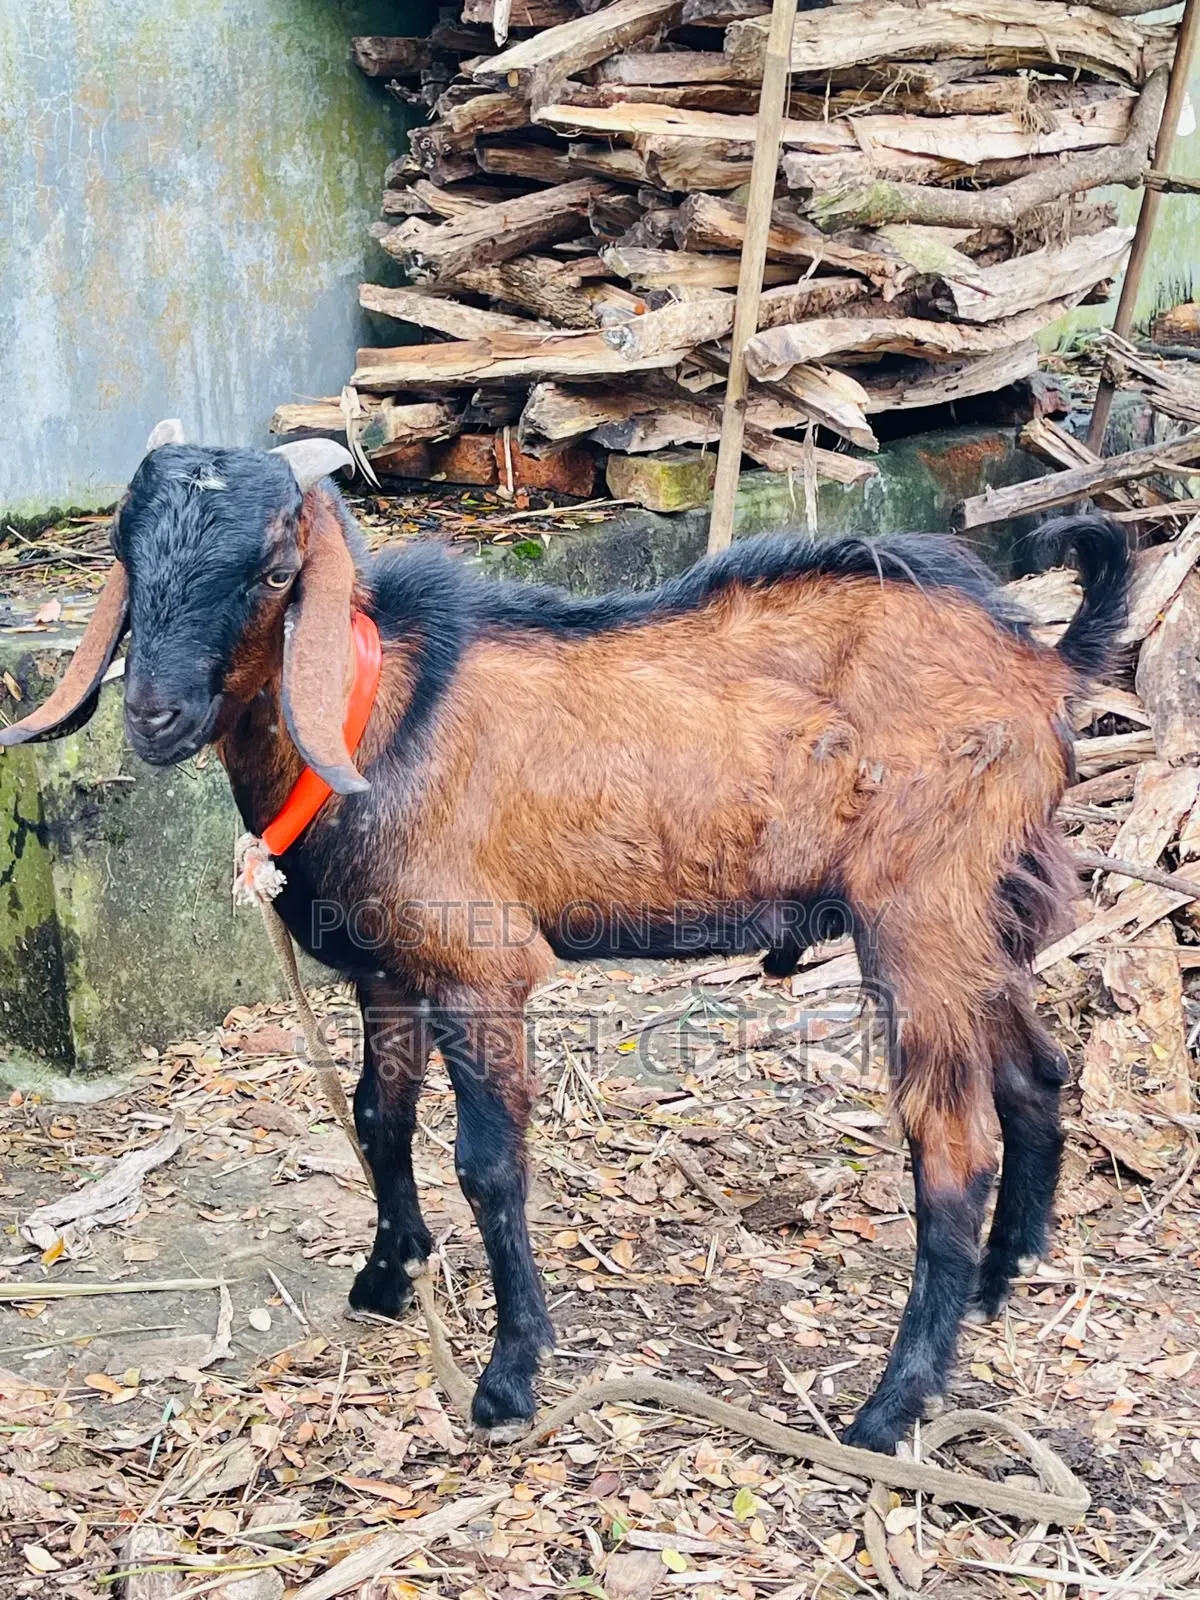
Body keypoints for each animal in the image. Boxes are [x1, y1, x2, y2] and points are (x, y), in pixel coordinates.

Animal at [0, 423, 1130, 1452]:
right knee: (1037, 1067)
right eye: (129, 553)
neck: (378, 714)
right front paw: (387, 1274)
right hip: (984, 909)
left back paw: (892, 1407)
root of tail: (1041, 665)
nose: (153, 715)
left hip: (919, 908)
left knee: (952, 1146)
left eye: (276, 571)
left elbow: (488, 1162)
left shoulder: (481, 964)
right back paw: (1005, 1275)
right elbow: (377, 1117)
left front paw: (509, 1377)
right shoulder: (390, 968)